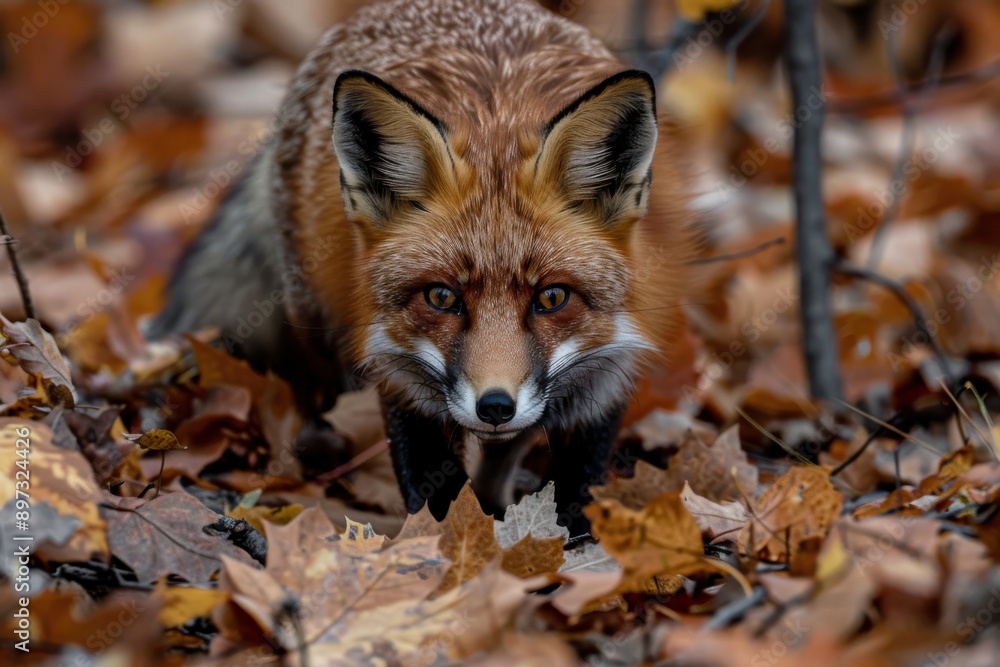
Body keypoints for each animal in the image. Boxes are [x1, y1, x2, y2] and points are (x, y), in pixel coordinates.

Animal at [151, 0, 693, 534]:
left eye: (552, 297)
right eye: (441, 297)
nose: (495, 406)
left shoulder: (606, 381)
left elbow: (577, 491)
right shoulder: (396, 370)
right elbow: (436, 500)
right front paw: (449, 550)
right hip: (317, 322)